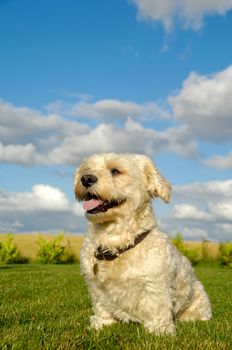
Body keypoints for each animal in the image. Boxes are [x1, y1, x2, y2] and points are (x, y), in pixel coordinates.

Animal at [75, 153, 212, 334]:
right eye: (87, 169)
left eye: (115, 171)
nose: (86, 178)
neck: (115, 243)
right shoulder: (96, 286)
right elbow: (101, 307)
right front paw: (102, 323)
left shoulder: (155, 285)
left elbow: (157, 308)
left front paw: (160, 331)